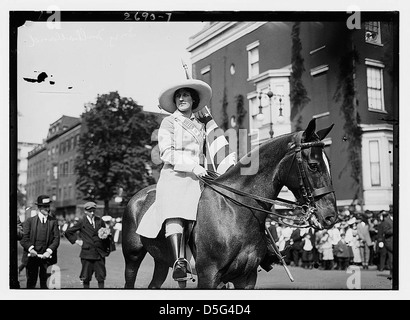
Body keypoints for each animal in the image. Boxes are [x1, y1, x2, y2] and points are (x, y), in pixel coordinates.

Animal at [121, 119, 336, 288]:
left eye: (329, 163)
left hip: (160, 259)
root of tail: (139, 195)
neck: (236, 210)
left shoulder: (246, 278)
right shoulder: (208, 276)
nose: (330, 216)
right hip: (132, 256)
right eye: (313, 165)